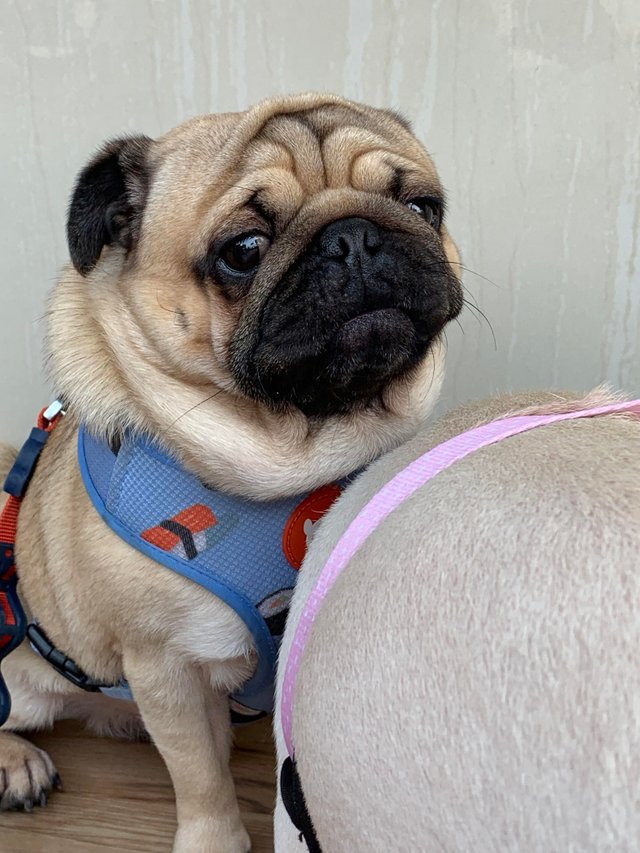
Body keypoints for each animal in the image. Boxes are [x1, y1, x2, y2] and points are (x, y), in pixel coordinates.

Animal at [0, 95, 460, 852]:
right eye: (242, 251)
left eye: (423, 208)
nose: (355, 237)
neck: (293, 464)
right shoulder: (167, 667)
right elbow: (202, 776)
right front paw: (215, 837)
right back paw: (17, 763)